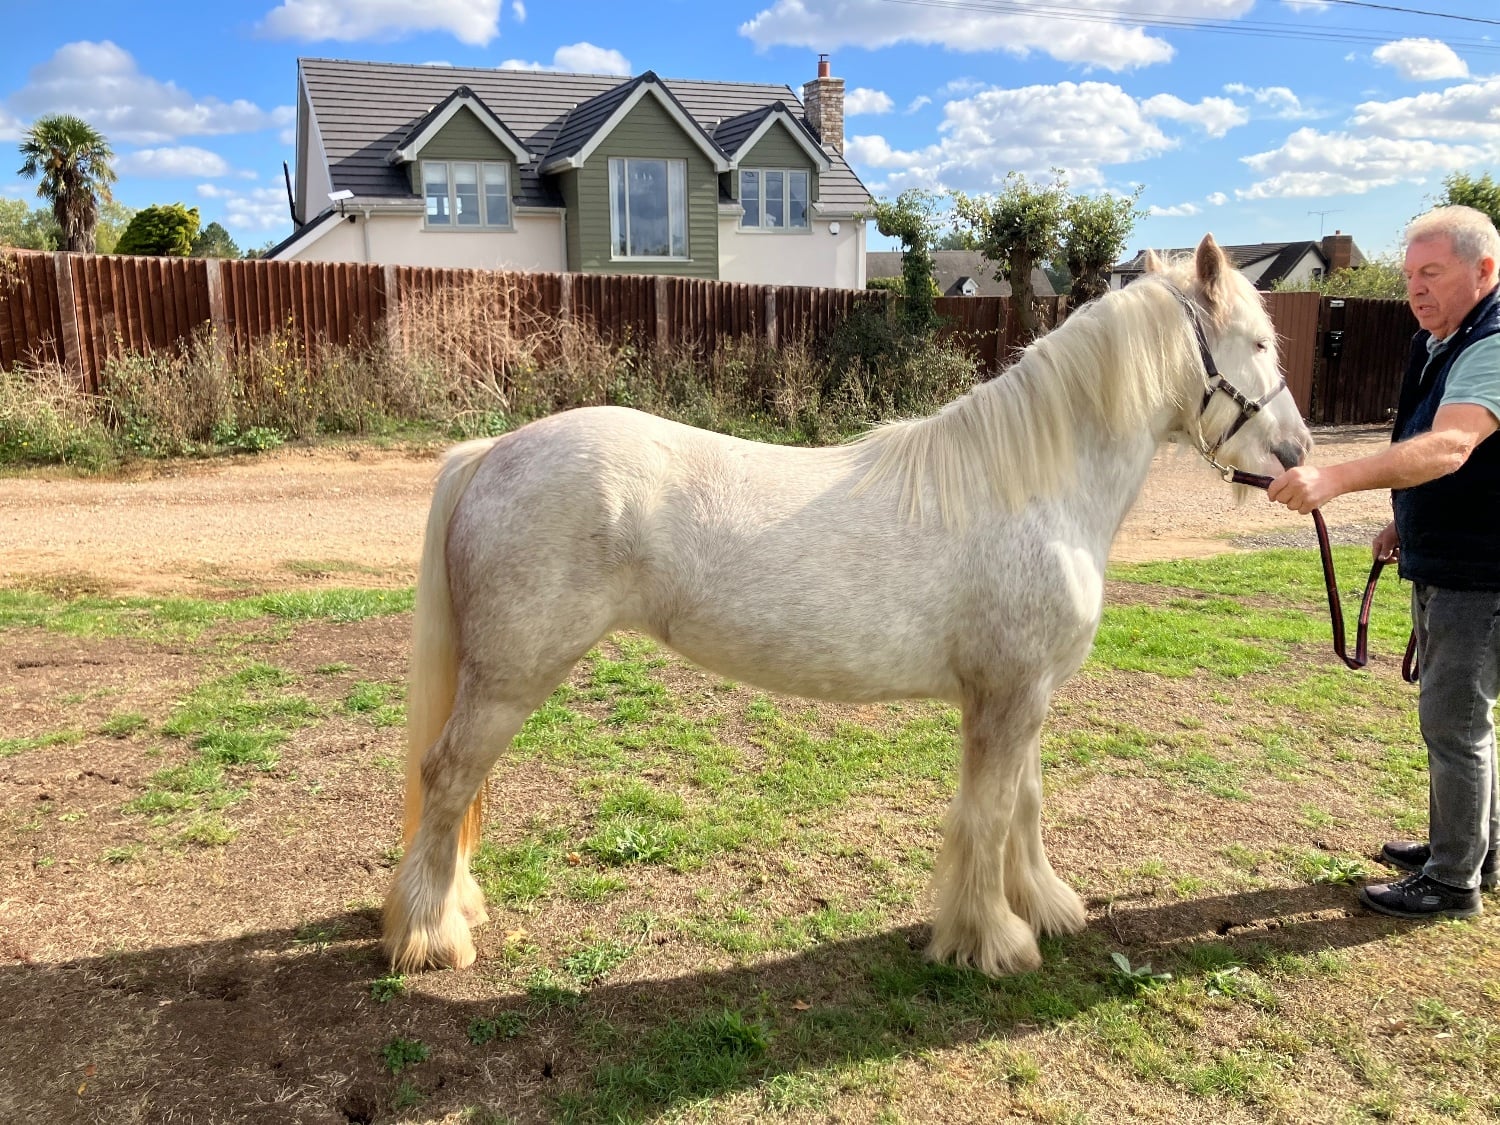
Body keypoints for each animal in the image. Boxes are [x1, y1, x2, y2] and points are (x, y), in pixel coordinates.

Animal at [383, 234, 1312, 977]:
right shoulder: (1006, 699)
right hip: (510, 678)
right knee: (447, 777)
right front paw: (991, 941)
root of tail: (492, 450)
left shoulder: (1024, 695)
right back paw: (431, 934)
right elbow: (987, 816)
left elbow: (1023, 806)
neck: (1036, 485)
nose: (1298, 453)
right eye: (1260, 341)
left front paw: (1043, 905)